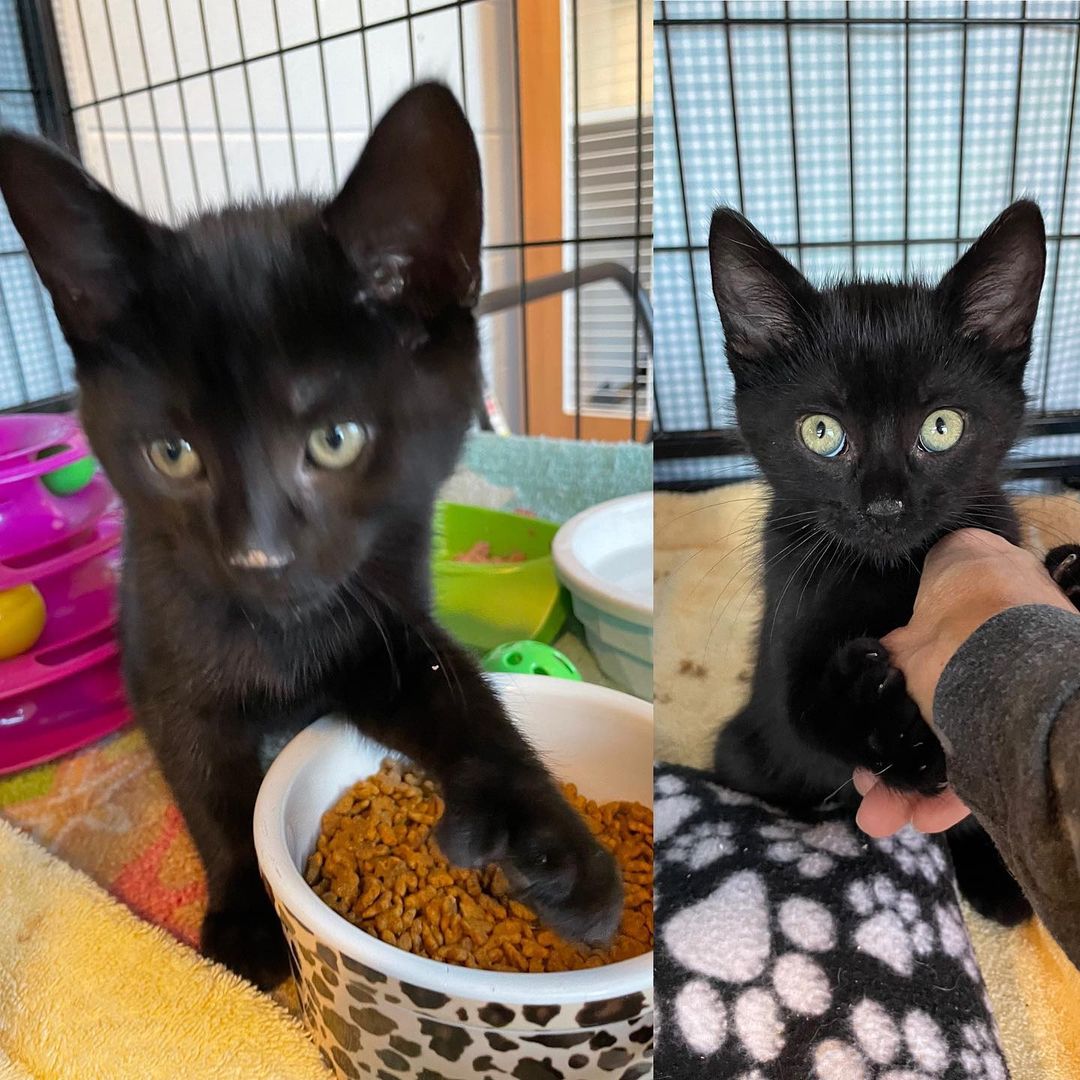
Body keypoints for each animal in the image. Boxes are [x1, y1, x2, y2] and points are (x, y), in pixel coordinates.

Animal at [0, 82, 622, 989]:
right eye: (172, 454)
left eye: (335, 440)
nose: (258, 555)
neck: (283, 638)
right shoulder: (163, 650)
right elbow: (207, 782)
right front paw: (245, 923)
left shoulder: (387, 623)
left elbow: (467, 700)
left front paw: (561, 857)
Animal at [708, 198, 1054, 924]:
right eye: (821, 432)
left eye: (942, 427)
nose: (886, 504)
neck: (891, 571)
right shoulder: (788, 630)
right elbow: (806, 712)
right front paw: (898, 734)